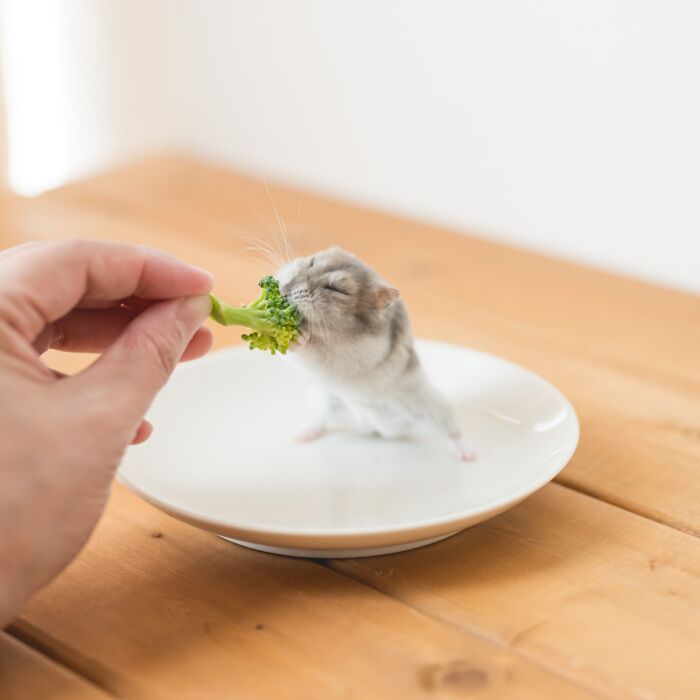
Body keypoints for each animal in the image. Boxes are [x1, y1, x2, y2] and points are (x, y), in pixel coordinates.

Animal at [276, 247, 474, 460]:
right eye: (311, 261)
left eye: (336, 289)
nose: (283, 289)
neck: (332, 333)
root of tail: (377, 430)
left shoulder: (351, 358)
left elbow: (317, 352)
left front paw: (301, 337)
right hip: (320, 399)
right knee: (320, 422)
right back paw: (301, 436)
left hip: (435, 406)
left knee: (453, 431)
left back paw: (466, 454)